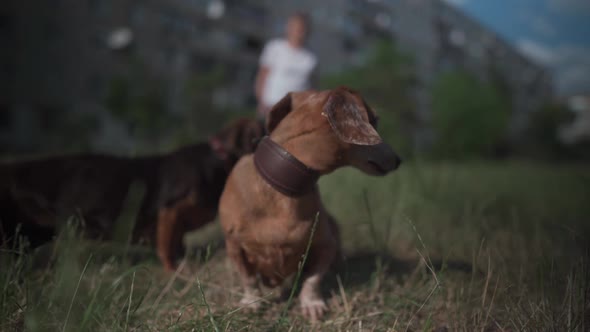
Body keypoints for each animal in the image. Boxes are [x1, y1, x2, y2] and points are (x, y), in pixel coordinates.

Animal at [220, 87, 404, 322]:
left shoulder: (325, 246)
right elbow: (249, 279)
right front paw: (251, 302)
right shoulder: (235, 246)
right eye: (374, 121)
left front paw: (312, 304)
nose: (398, 160)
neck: (283, 190)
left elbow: (312, 279)